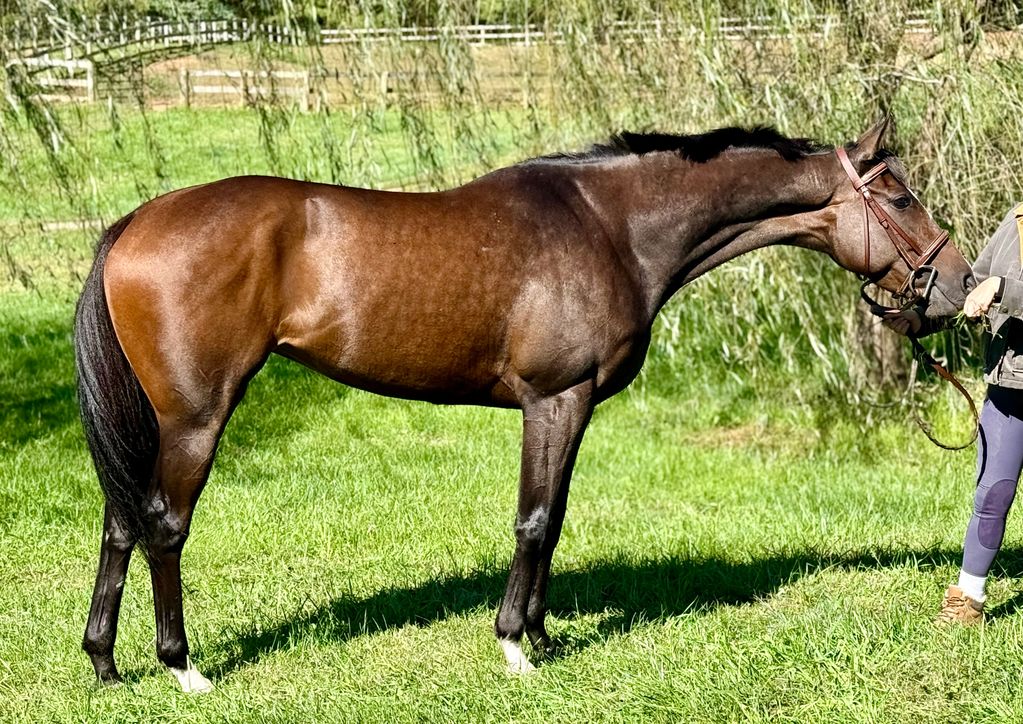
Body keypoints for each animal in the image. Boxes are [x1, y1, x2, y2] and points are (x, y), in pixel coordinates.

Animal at [75, 118, 973, 692]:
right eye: (899, 197)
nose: (958, 286)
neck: (610, 226)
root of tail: (133, 223)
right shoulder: (554, 399)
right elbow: (534, 519)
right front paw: (514, 646)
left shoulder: (573, 408)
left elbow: (558, 515)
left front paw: (543, 632)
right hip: (196, 418)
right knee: (163, 526)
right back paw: (183, 667)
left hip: (153, 424)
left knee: (120, 522)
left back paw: (106, 665)